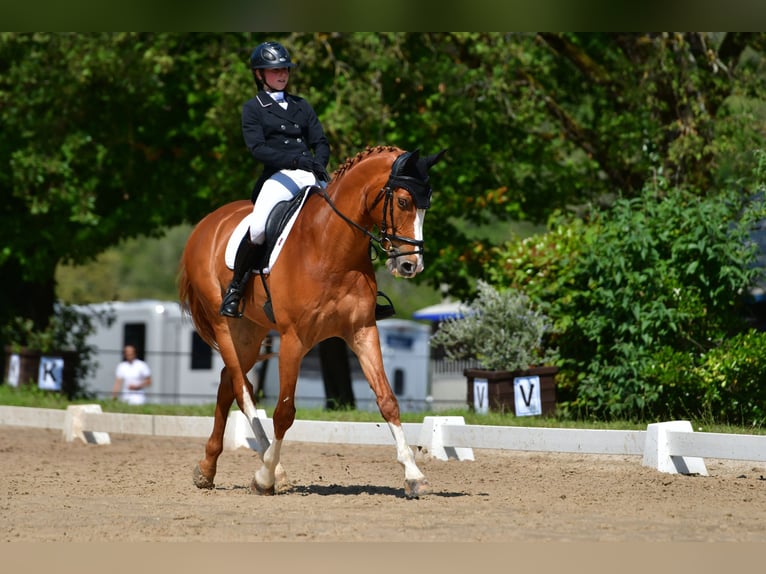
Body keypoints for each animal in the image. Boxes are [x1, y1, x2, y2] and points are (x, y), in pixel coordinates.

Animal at [178, 145, 448, 500]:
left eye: (427, 206)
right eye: (403, 202)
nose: (410, 265)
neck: (332, 249)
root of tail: (207, 222)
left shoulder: (362, 331)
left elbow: (388, 400)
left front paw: (414, 476)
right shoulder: (294, 339)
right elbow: (284, 412)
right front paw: (265, 478)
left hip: (249, 331)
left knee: (226, 383)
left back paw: (208, 469)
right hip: (223, 323)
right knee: (242, 388)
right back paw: (272, 469)